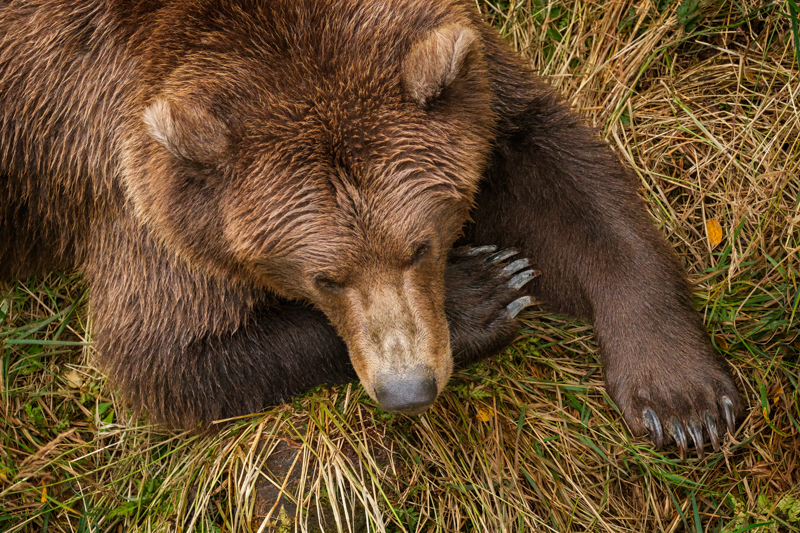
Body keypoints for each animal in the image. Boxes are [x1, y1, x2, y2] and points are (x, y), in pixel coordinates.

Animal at [0, 0, 743, 458]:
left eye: (420, 244)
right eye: (322, 275)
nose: (407, 390)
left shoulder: (478, 87)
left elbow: (567, 182)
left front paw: (683, 400)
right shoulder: (138, 197)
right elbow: (167, 356)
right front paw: (485, 290)